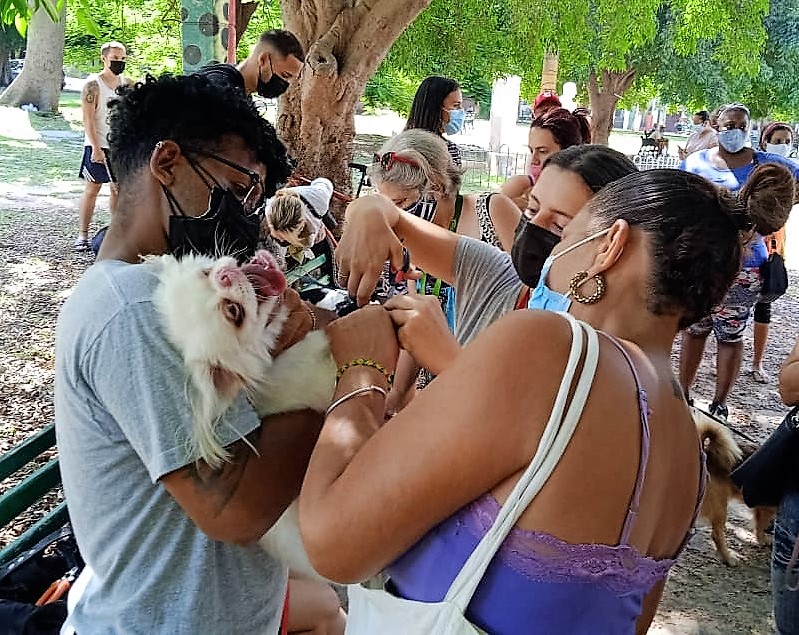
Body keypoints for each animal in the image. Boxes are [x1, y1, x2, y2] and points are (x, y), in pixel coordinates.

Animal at [692, 407, 776, 566]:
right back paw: (728, 557)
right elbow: (761, 525)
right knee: (716, 535)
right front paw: (762, 540)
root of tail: (706, 453)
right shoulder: (766, 507)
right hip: (720, 506)